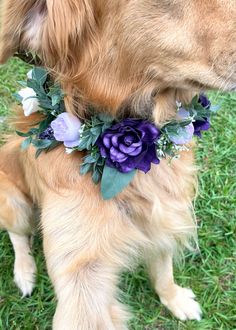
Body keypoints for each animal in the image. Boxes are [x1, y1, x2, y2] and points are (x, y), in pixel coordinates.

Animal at [0, 0, 235, 328]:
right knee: (18, 236)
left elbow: (163, 270)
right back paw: (24, 272)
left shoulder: (164, 213)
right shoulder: (81, 274)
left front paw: (174, 299)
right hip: (12, 200)